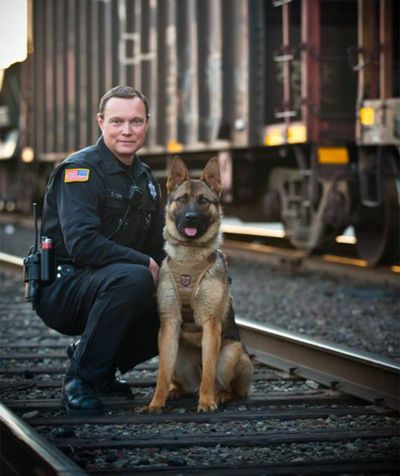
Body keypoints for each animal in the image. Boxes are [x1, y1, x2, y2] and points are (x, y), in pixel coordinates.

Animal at [147, 156, 253, 412]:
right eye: (183, 199)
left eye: (203, 201)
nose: (191, 217)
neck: (189, 260)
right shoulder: (169, 325)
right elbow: (161, 374)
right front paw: (156, 402)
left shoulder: (210, 325)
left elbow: (209, 372)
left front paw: (206, 402)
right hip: (176, 353)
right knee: (180, 379)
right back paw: (176, 391)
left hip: (231, 353)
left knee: (228, 387)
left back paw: (219, 395)